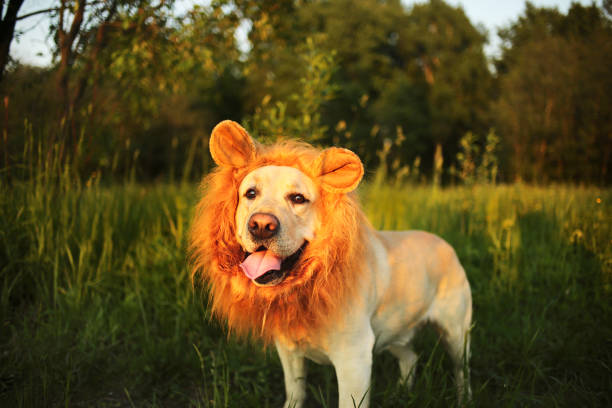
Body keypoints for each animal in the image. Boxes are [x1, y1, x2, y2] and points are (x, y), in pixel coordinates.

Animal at [191, 119, 474, 406]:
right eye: (250, 193)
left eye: (298, 198)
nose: (260, 225)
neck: (314, 281)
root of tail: (445, 243)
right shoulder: (290, 351)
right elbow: (295, 393)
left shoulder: (354, 359)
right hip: (396, 331)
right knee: (410, 358)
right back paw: (402, 393)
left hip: (456, 332)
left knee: (462, 371)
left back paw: (463, 398)